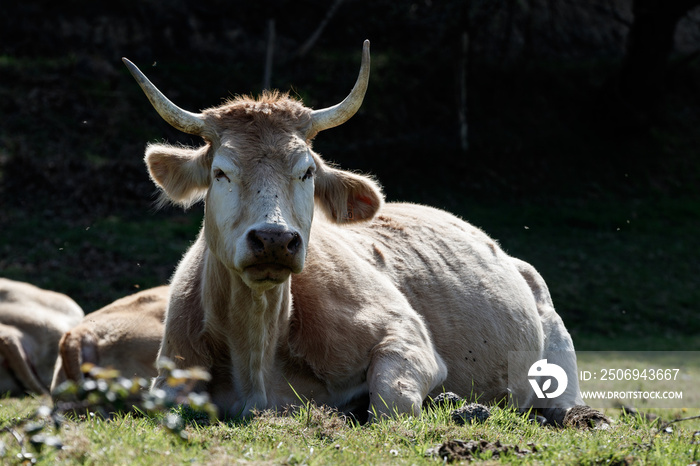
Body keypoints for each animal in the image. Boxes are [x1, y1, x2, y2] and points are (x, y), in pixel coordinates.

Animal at [124, 41, 592, 426]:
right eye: (221, 172)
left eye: (307, 171)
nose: (274, 239)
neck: (256, 350)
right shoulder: (170, 370)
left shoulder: (409, 339)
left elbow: (391, 403)